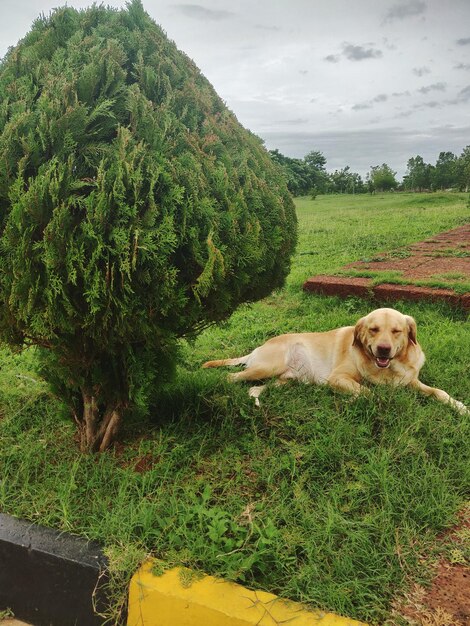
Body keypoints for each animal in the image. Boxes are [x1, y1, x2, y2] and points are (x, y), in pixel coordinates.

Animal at [202, 308, 470, 414]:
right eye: (373, 329)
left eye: (396, 331)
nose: (383, 350)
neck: (387, 368)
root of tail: (257, 348)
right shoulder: (338, 378)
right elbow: (368, 393)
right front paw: (352, 400)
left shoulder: (410, 381)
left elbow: (439, 392)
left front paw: (460, 407)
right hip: (268, 366)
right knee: (230, 377)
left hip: (284, 380)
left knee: (254, 390)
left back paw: (257, 403)